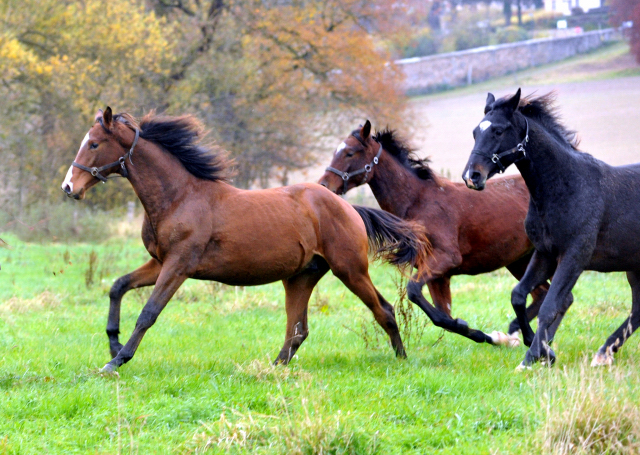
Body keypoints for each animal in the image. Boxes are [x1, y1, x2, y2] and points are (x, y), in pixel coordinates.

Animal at [61, 108, 430, 374]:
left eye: (94, 144)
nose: (69, 187)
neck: (178, 197)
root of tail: (348, 207)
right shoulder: (160, 262)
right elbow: (118, 286)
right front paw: (112, 342)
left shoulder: (179, 265)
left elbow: (148, 313)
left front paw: (116, 360)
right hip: (301, 276)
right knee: (298, 330)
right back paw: (272, 368)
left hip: (350, 270)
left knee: (383, 310)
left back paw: (402, 359)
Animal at [320, 121, 552, 346]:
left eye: (350, 153)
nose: (324, 185)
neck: (418, 201)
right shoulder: (438, 276)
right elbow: (443, 317)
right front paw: (489, 336)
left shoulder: (444, 260)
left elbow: (414, 291)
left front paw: (494, 336)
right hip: (519, 260)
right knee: (541, 293)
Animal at [462, 87, 640, 368]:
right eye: (475, 132)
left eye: (498, 131)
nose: (472, 176)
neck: (567, 186)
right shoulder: (545, 253)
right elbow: (518, 295)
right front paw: (536, 349)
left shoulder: (574, 257)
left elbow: (549, 306)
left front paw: (536, 354)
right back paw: (604, 353)